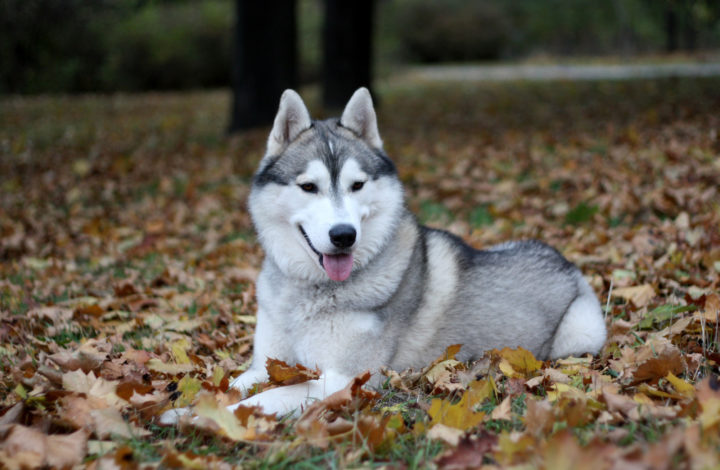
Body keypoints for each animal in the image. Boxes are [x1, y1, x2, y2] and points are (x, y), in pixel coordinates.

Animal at [187, 88, 600, 418]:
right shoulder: (264, 365)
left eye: (357, 185)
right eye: (308, 186)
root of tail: (563, 259)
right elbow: (231, 384)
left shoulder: (344, 379)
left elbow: (270, 395)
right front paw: (188, 405)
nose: (343, 236)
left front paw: (200, 418)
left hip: (581, 332)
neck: (311, 293)